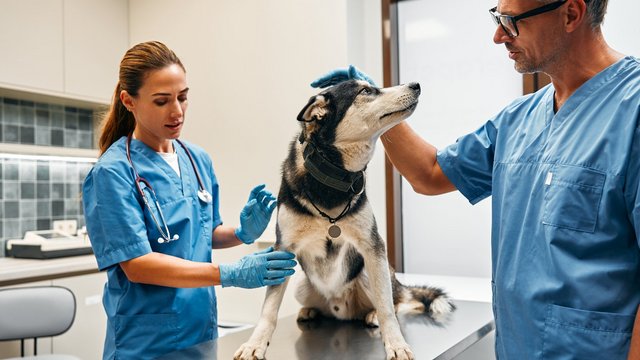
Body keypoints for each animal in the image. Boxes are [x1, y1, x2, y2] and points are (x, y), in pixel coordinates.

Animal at [232, 81, 452, 360]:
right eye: (366, 91)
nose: (416, 85)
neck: (332, 178)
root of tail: (342, 308)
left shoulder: (373, 245)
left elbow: (387, 308)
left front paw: (396, 343)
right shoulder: (283, 250)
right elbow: (269, 309)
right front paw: (255, 344)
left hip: (371, 270)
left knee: (398, 301)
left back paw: (372, 314)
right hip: (301, 282)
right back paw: (310, 311)